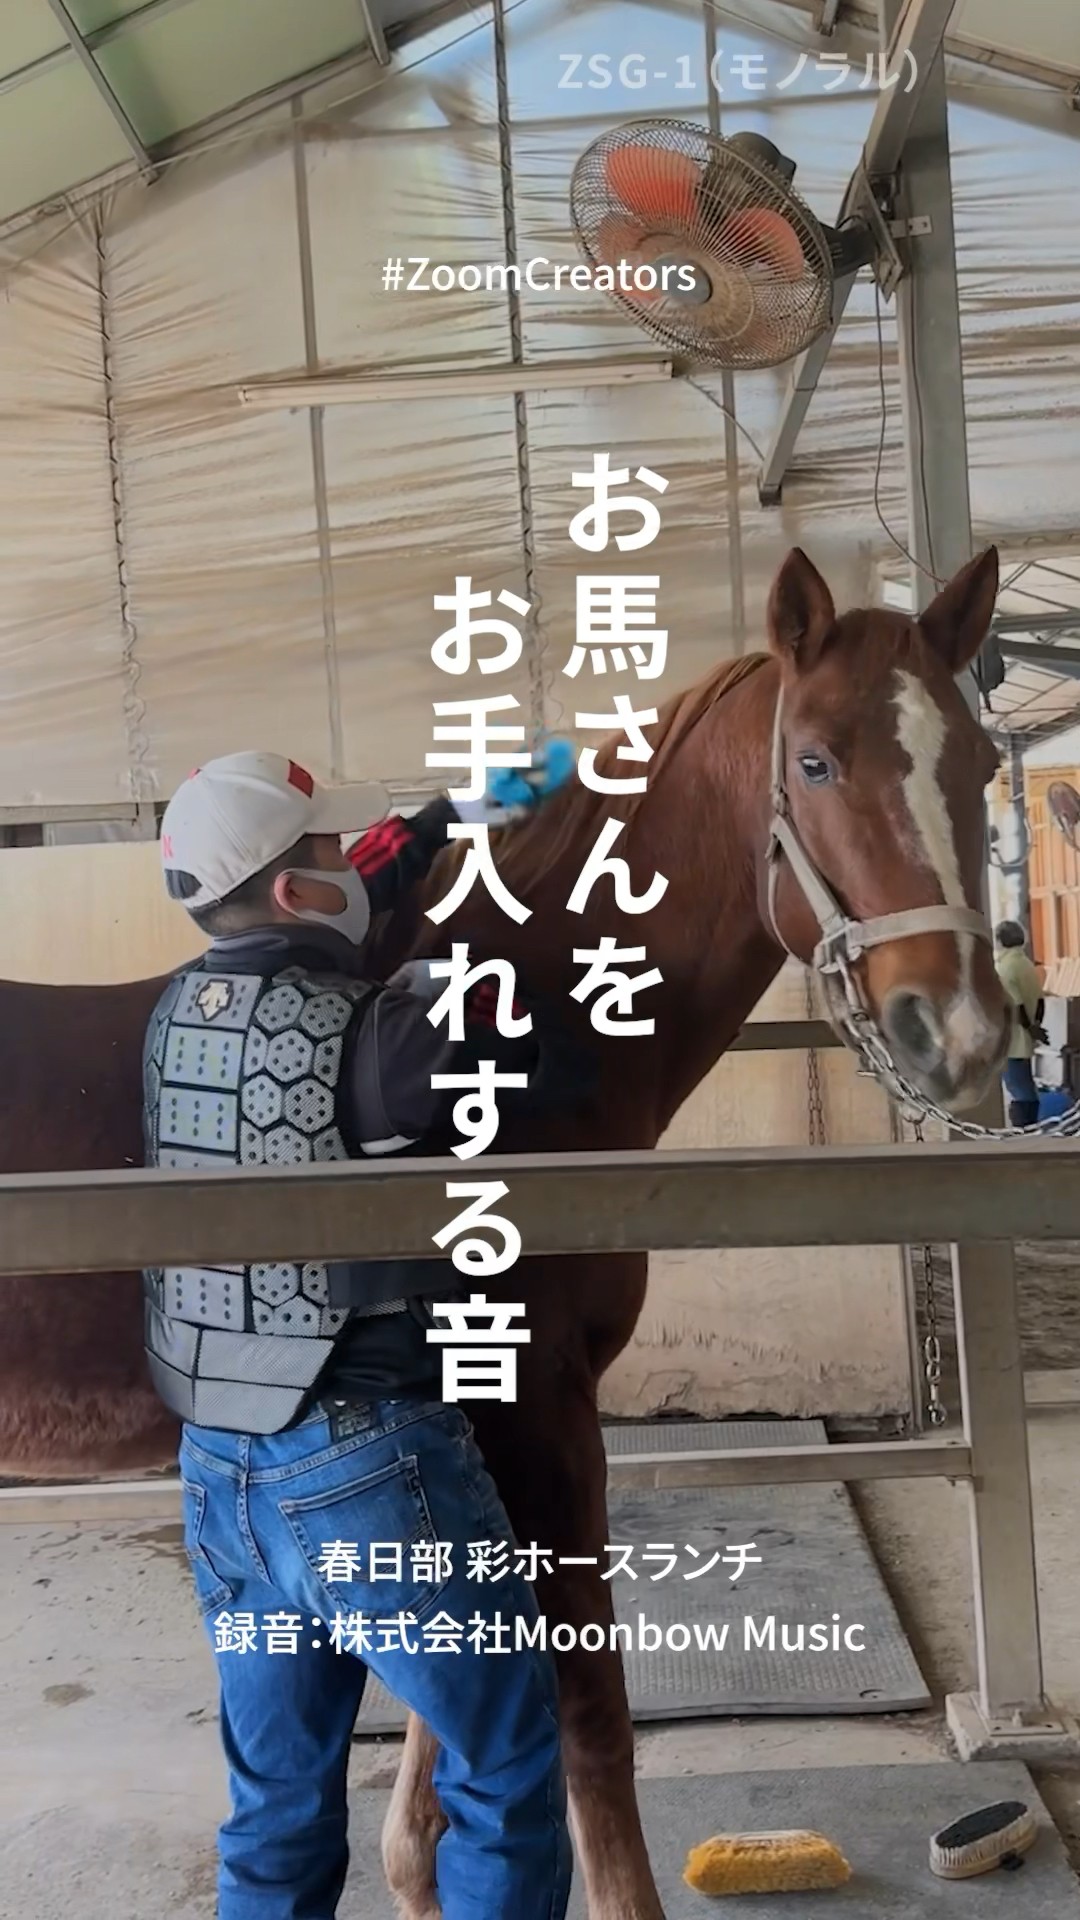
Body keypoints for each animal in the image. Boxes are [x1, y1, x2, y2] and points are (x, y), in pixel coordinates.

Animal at [0, 545, 1008, 1920]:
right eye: (813, 761)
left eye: (983, 762)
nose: (960, 1036)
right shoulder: (540, 1413)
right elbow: (589, 1721)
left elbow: (434, 1776)